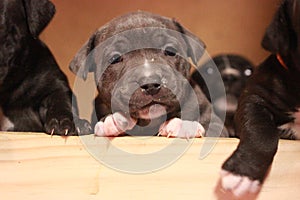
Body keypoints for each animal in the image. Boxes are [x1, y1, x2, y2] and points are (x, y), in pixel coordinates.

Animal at [69, 11, 227, 138]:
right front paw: (112, 121)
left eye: (170, 51)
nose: (150, 83)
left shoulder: (217, 125)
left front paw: (183, 125)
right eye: (115, 58)